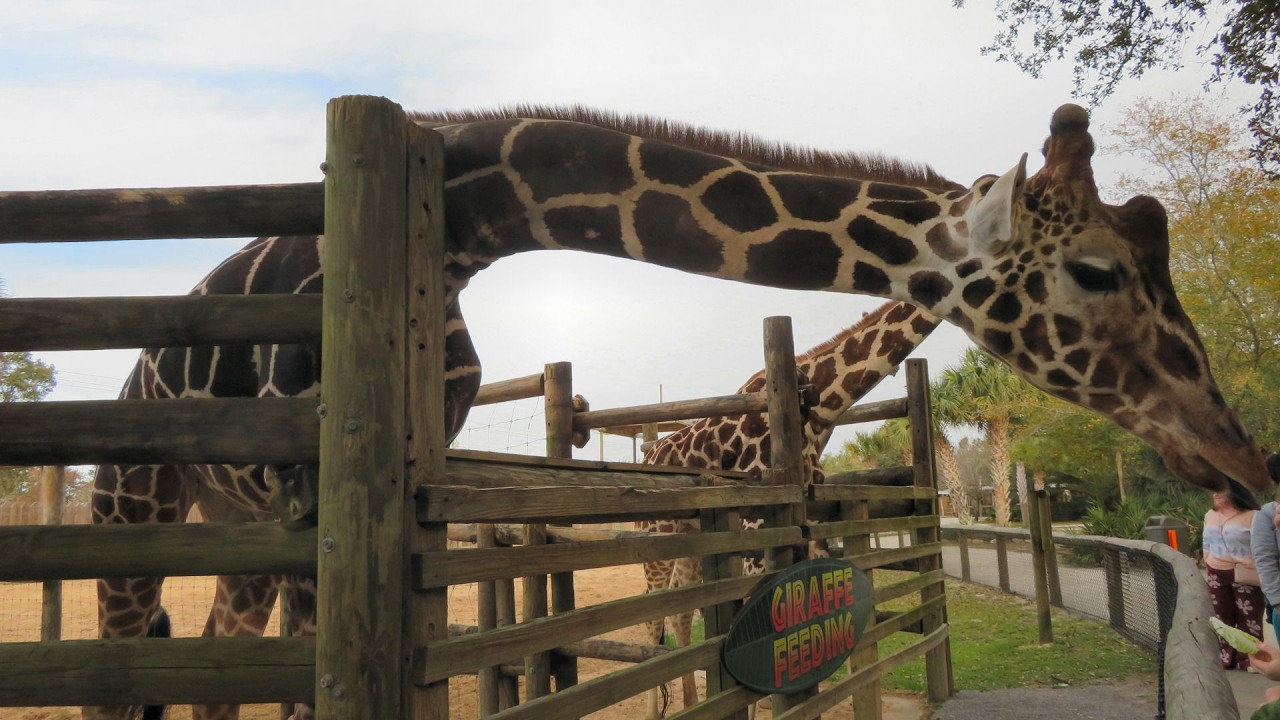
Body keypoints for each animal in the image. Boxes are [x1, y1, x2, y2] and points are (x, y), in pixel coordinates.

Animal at [636, 299, 940, 717]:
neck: (820, 405)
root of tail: (651, 453)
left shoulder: (810, 519)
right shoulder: (758, 526)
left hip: (691, 544)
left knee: (681, 615)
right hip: (656, 539)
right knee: (653, 620)